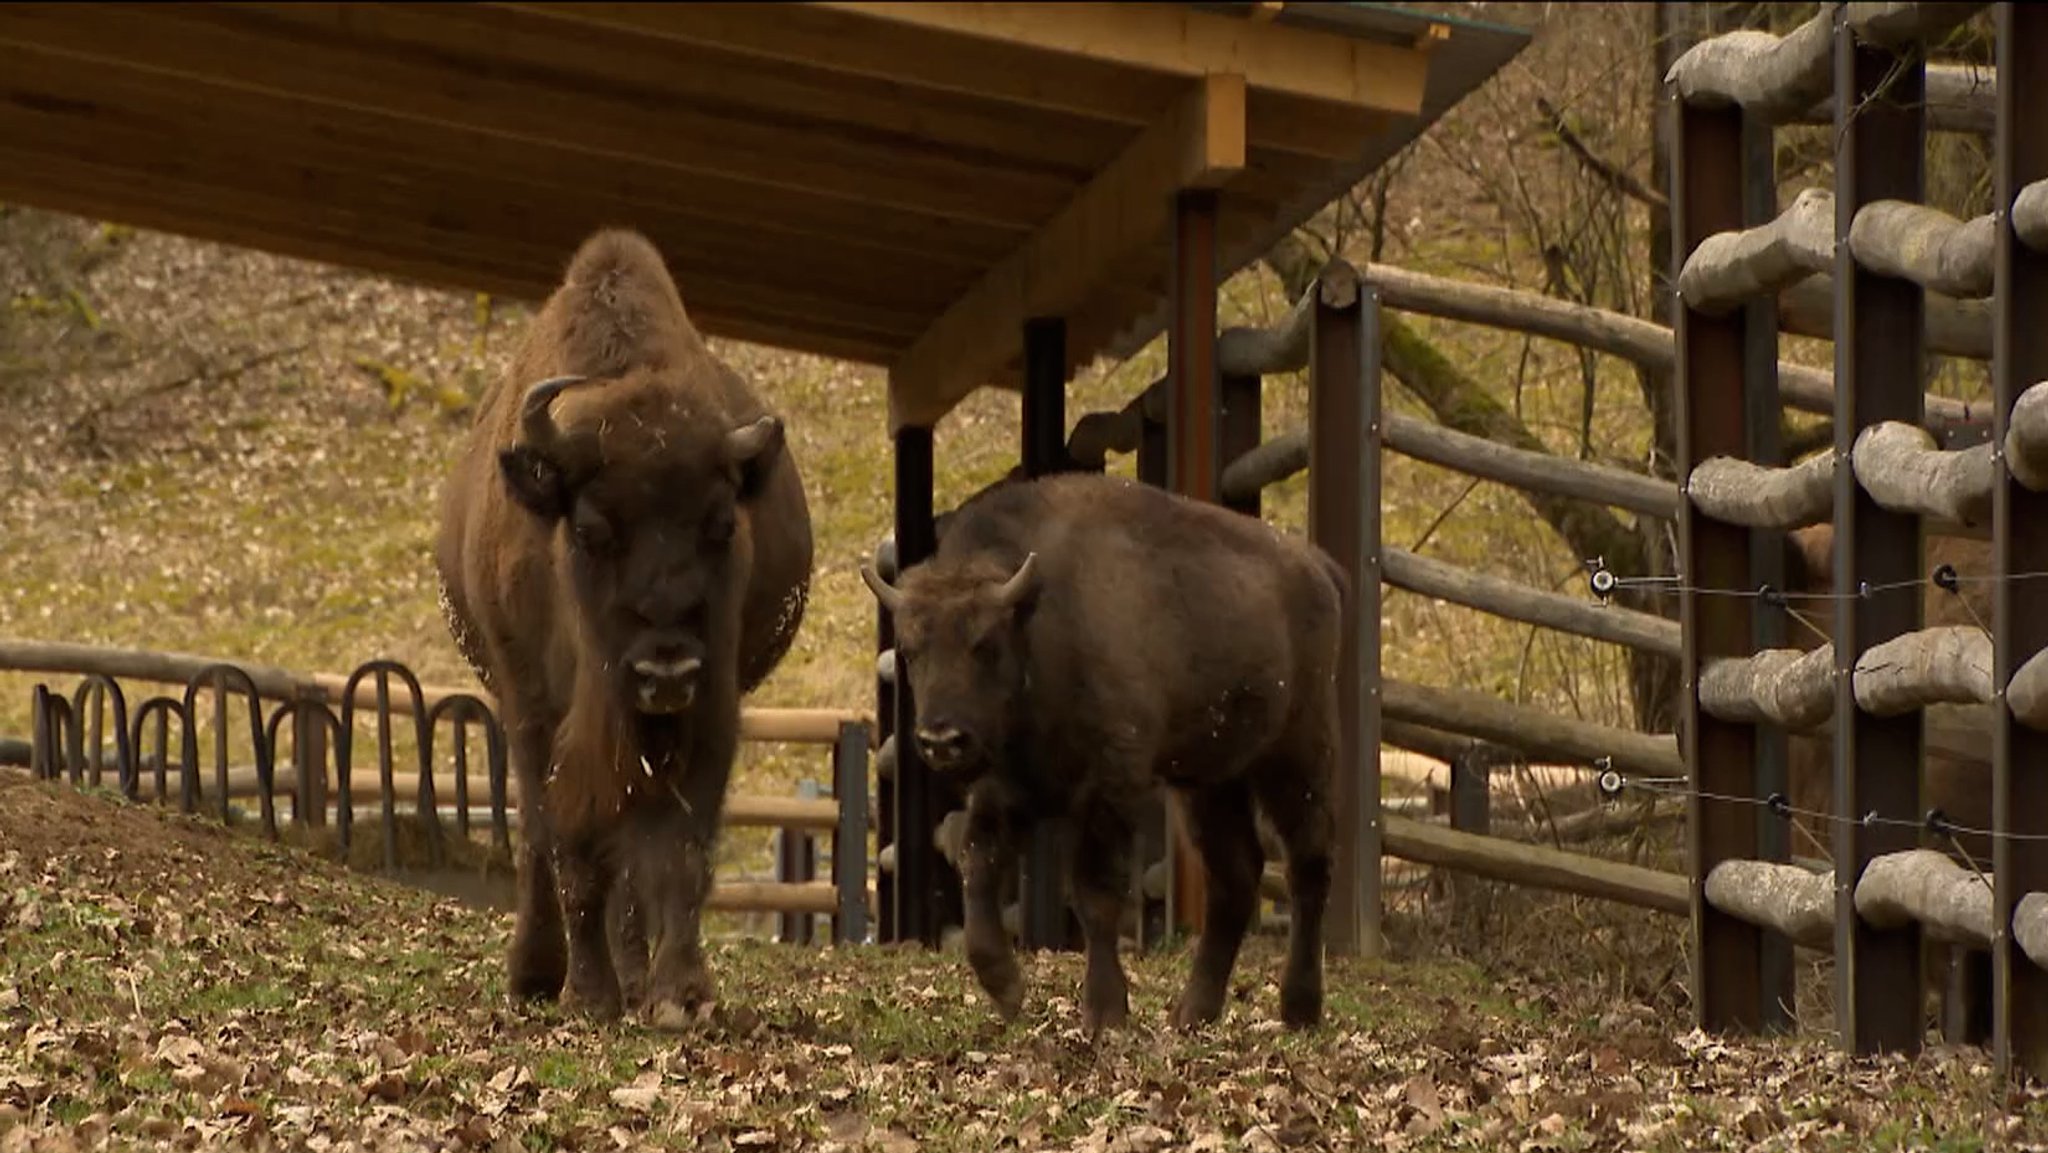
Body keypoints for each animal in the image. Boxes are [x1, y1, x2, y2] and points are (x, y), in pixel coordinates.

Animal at [436, 230, 811, 1023]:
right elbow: (564, 846)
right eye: (589, 527)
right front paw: (586, 993)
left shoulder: (710, 712)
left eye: (722, 523)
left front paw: (678, 995)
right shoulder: (536, 713)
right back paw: (543, 973)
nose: (663, 670)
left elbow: (679, 854)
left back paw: (636, 977)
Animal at [860, 473, 1343, 1032]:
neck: (1040, 621)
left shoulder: (1110, 785)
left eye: (985, 645)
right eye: (910, 650)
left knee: (1308, 865)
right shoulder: (1006, 789)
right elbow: (978, 862)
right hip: (1209, 782)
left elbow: (1095, 894)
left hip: (1295, 759)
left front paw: (1105, 1011)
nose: (941, 740)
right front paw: (1005, 987)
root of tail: (1318, 568)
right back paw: (1193, 1012)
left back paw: (1299, 1008)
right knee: (1236, 876)